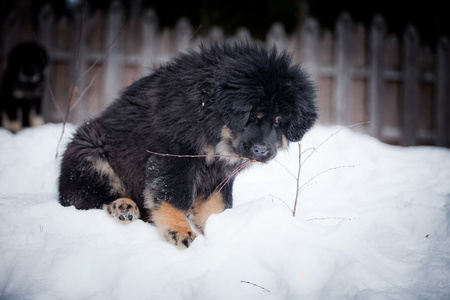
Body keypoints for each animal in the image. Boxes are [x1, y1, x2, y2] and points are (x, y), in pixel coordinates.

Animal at [58, 42, 316, 248]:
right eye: (252, 116)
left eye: (279, 121)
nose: (261, 150)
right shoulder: (175, 156)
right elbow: (173, 196)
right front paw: (179, 231)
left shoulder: (218, 174)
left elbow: (216, 204)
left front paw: (216, 229)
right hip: (91, 150)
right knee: (82, 198)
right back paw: (123, 206)